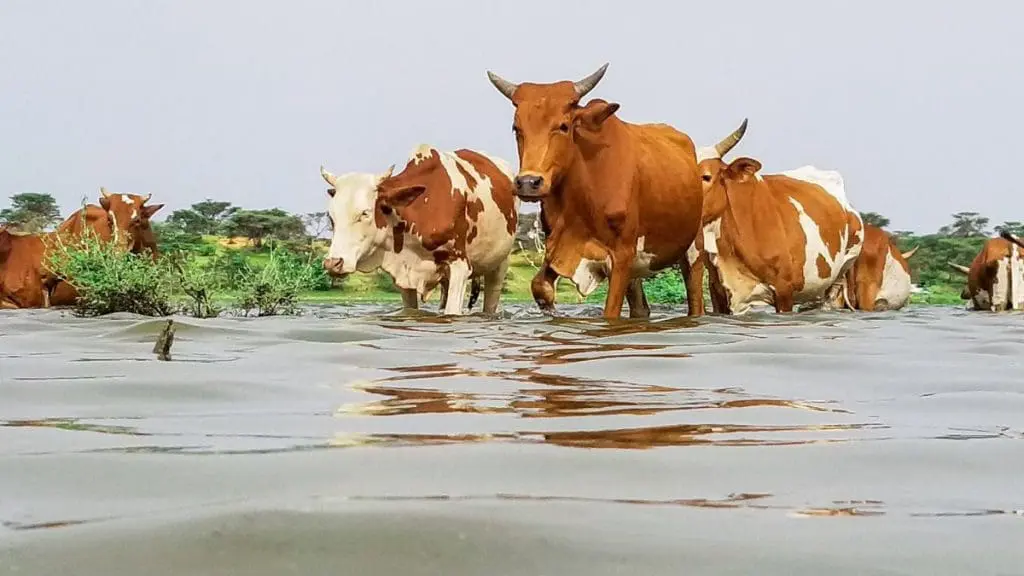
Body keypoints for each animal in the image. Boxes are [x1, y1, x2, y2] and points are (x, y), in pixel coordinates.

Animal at [320, 144, 519, 315]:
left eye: (364, 213)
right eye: (331, 216)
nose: (333, 263)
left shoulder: (460, 266)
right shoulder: (403, 274)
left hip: (499, 266)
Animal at [486, 62, 747, 319]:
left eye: (563, 126)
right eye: (516, 128)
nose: (528, 182)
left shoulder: (621, 257)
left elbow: (610, 313)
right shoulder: (559, 245)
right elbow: (540, 286)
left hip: (693, 249)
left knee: (695, 301)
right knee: (641, 308)